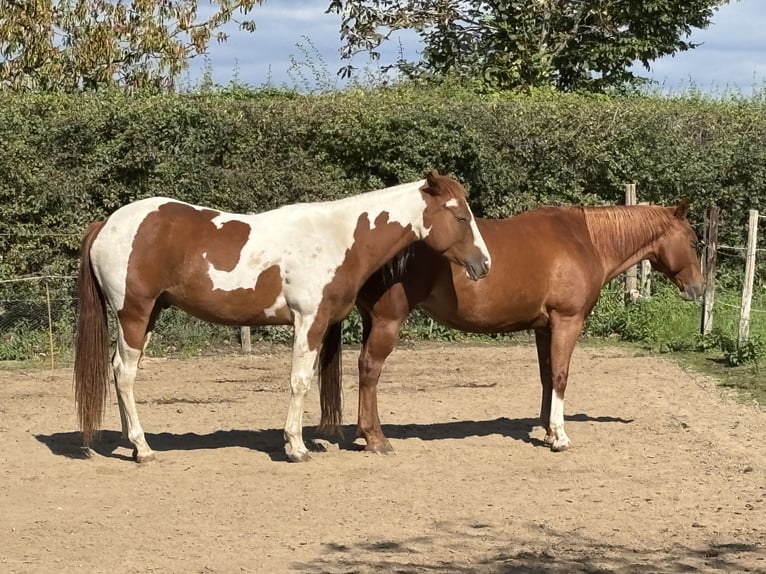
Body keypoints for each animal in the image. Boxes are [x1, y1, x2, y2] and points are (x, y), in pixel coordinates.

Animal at [74, 169, 491, 463]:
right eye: (459, 216)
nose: (484, 264)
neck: (338, 238)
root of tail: (107, 223)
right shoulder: (309, 321)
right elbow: (299, 381)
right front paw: (296, 446)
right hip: (134, 313)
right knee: (125, 374)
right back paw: (142, 448)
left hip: (149, 315)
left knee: (118, 371)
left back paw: (131, 444)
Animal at [318, 200, 704, 453]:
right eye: (693, 240)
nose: (699, 288)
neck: (587, 240)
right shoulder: (567, 321)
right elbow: (561, 375)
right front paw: (560, 437)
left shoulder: (544, 327)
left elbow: (547, 376)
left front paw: (547, 430)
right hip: (387, 321)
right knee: (370, 369)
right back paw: (375, 439)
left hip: (373, 321)